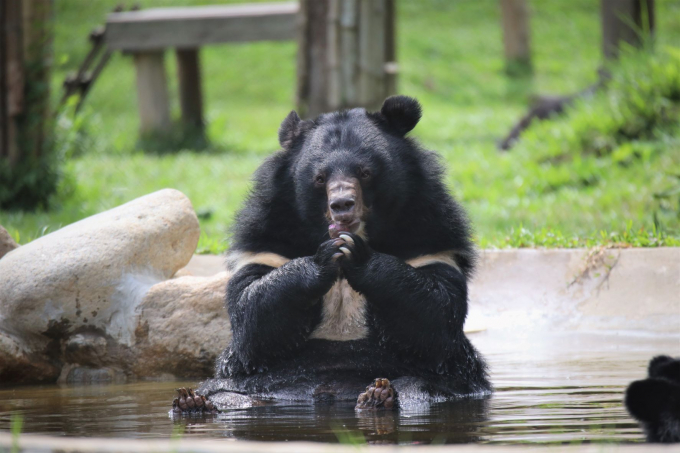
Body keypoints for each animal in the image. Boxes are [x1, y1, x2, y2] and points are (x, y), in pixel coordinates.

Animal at [173, 96, 492, 414]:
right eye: (319, 178)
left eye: (365, 172)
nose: (342, 204)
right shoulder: (266, 242)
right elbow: (252, 315)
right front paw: (325, 258)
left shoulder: (432, 240)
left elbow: (435, 314)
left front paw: (357, 256)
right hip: (253, 382)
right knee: (223, 389)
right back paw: (193, 401)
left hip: (445, 381)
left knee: (420, 388)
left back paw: (378, 396)